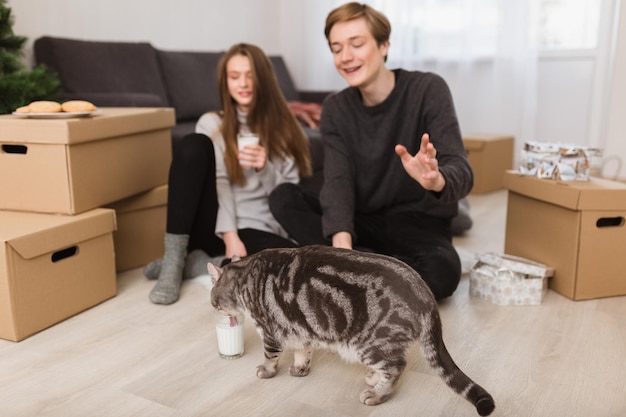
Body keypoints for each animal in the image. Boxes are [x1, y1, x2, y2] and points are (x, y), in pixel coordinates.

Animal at [208, 245, 492, 414]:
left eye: (213, 302)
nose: (215, 308)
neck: (245, 276)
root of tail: (425, 294)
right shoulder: (300, 329)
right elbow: (302, 353)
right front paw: (300, 370)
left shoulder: (270, 332)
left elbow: (270, 357)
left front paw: (266, 371)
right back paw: (374, 379)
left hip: (369, 344)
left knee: (396, 367)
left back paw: (377, 394)